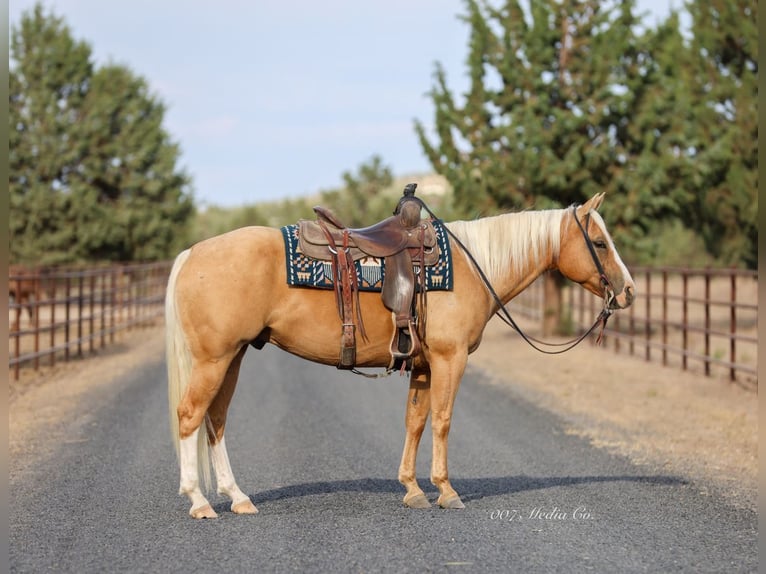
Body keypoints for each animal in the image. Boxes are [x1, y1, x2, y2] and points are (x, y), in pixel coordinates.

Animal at [166, 192, 635, 518]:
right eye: (599, 242)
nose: (628, 291)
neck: (472, 266)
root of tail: (192, 253)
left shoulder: (424, 365)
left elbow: (416, 421)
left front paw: (412, 489)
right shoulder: (450, 358)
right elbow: (442, 420)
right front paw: (446, 490)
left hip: (232, 357)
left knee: (216, 421)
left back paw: (237, 497)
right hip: (214, 360)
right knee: (190, 416)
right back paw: (199, 501)